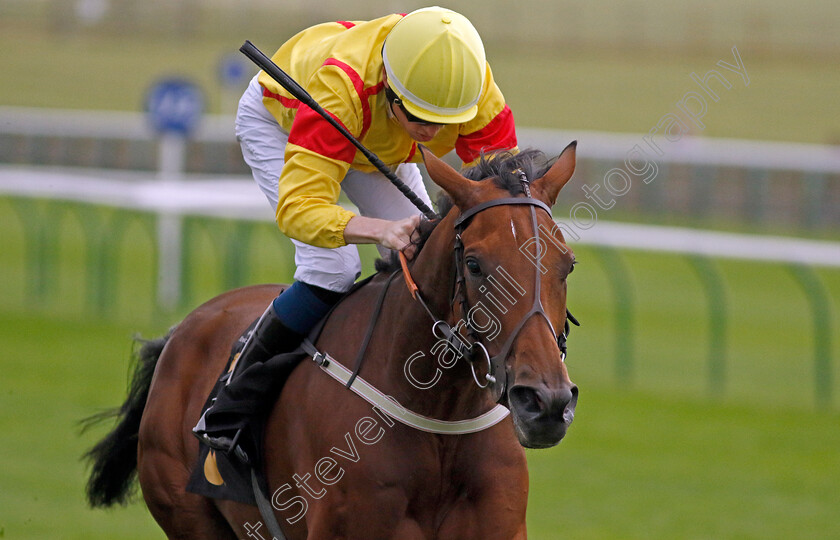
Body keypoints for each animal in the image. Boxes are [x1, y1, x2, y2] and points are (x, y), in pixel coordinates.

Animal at [85, 144, 580, 540]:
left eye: (568, 264)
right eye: (474, 265)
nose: (546, 403)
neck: (441, 417)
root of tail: (180, 331)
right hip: (189, 516)